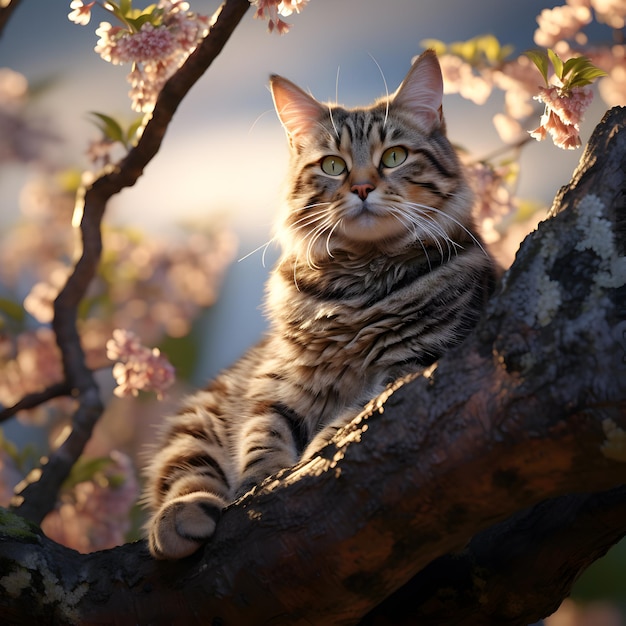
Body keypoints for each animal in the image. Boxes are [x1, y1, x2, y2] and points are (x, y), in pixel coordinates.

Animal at [141, 48, 492, 556]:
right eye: (332, 166)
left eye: (395, 156)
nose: (362, 188)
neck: (360, 286)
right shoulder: (277, 378)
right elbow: (262, 431)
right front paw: (262, 477)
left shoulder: (418, 359)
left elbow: (352, 415)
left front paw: (319, 449)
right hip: (201, 415)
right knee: (184, 474)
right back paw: (180, 518)